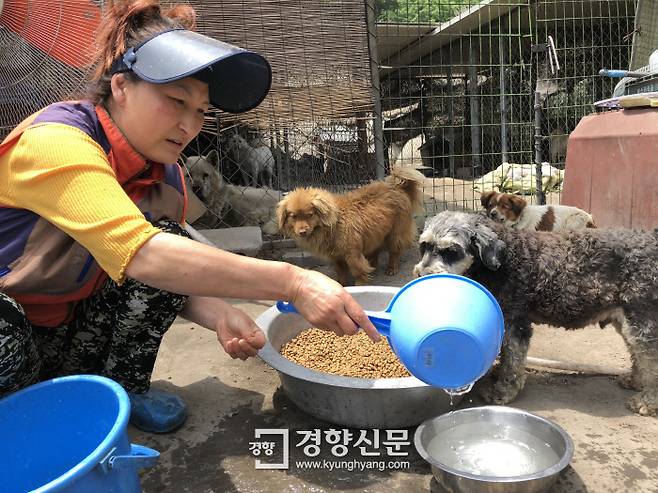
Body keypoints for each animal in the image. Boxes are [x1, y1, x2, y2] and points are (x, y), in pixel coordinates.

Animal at [274, 169, 422, 284]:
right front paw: (341, 284)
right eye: (293, 216)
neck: (334, 223)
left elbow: (358, 271)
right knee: (376, 250)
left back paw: (391, 268)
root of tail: (398, 188)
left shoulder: (352, 255)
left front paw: (360, 284)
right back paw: (373, 264)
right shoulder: (336, 256)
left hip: (396, 233)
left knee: (394, 251)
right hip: (376, 233)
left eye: (310, 215)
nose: (302, 232)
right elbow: (340, 272)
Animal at [412, 210, 652, 416]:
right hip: (627, 322)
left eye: (451, 251)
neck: (501, 261)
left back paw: (647, 402)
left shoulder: (515, 324)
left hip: (643, 323)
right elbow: (506, 356)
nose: (421, 275)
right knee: (639, 356)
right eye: (424, 246)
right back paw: (635, 381)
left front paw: (504, 391)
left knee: (652, 362)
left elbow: (513, 360)